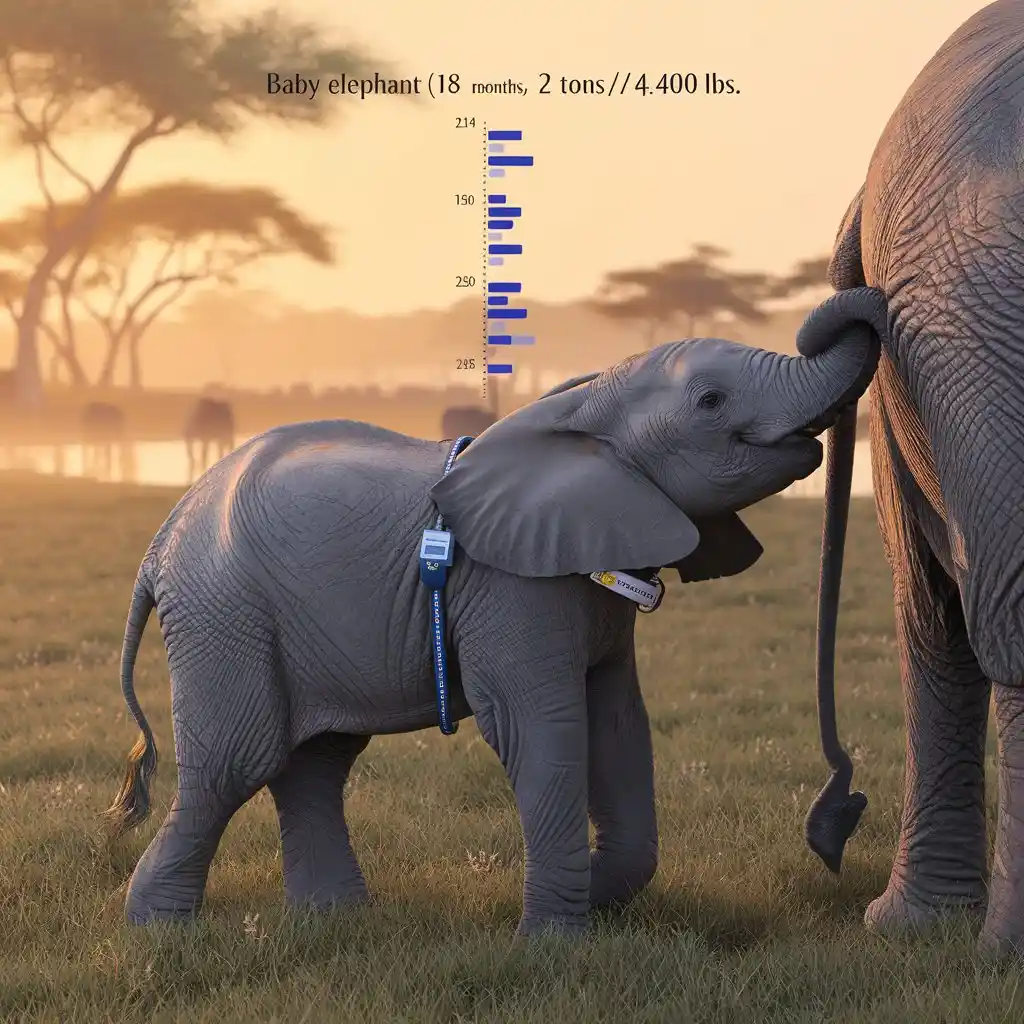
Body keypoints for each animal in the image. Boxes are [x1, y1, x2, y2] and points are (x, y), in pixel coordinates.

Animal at [103, 298, 884, 936]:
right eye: (711, 400)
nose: (837, 822)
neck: (585, 406)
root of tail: (159, 545)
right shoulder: (511, 588)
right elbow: (541, 730)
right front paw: (554, 941)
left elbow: (618, 728)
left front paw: (594, 894)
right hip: (224, 614)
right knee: (239, 760)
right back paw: (159, 931)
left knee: (316, 762)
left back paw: (335, 919)